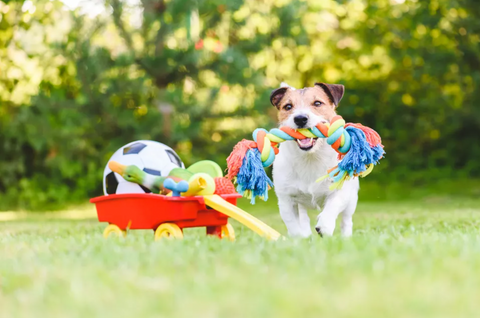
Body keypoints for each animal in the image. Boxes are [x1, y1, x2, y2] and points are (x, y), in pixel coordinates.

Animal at [272, 83, 358, 237]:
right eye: (288, 106)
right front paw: (299, 239)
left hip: (352, 200)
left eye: (317, 103)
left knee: (346, 220)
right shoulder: (286, 200)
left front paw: (324, 226)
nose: (300, 118)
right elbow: (293, 225)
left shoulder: (341, 191)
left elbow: (332, 206)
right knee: (303, 219)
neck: (310, 157)